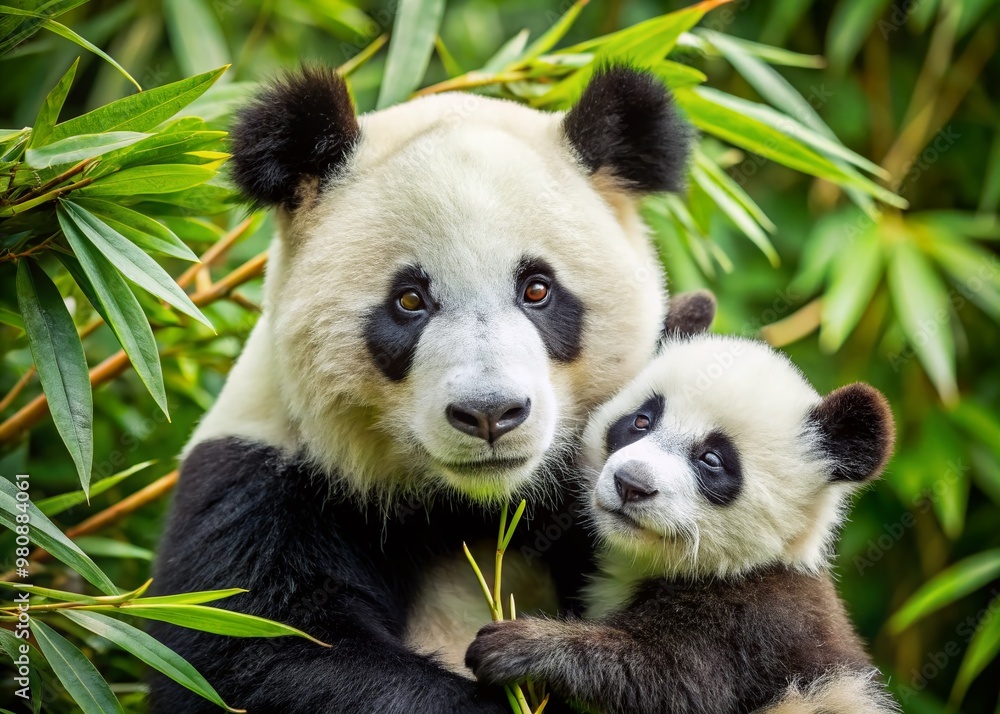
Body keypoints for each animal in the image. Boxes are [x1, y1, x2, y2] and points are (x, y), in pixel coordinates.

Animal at [148, 64, 699, 713]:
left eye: (537, 289)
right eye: (410, 300)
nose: (490, 414)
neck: (475, 508)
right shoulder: (266, 482)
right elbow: (258, 653)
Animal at [465, 334, 900, 714]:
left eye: (712, 459)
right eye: (641, 421)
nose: (631, 484)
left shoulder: (756, 624)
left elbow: (671, 682)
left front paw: (517, 645)